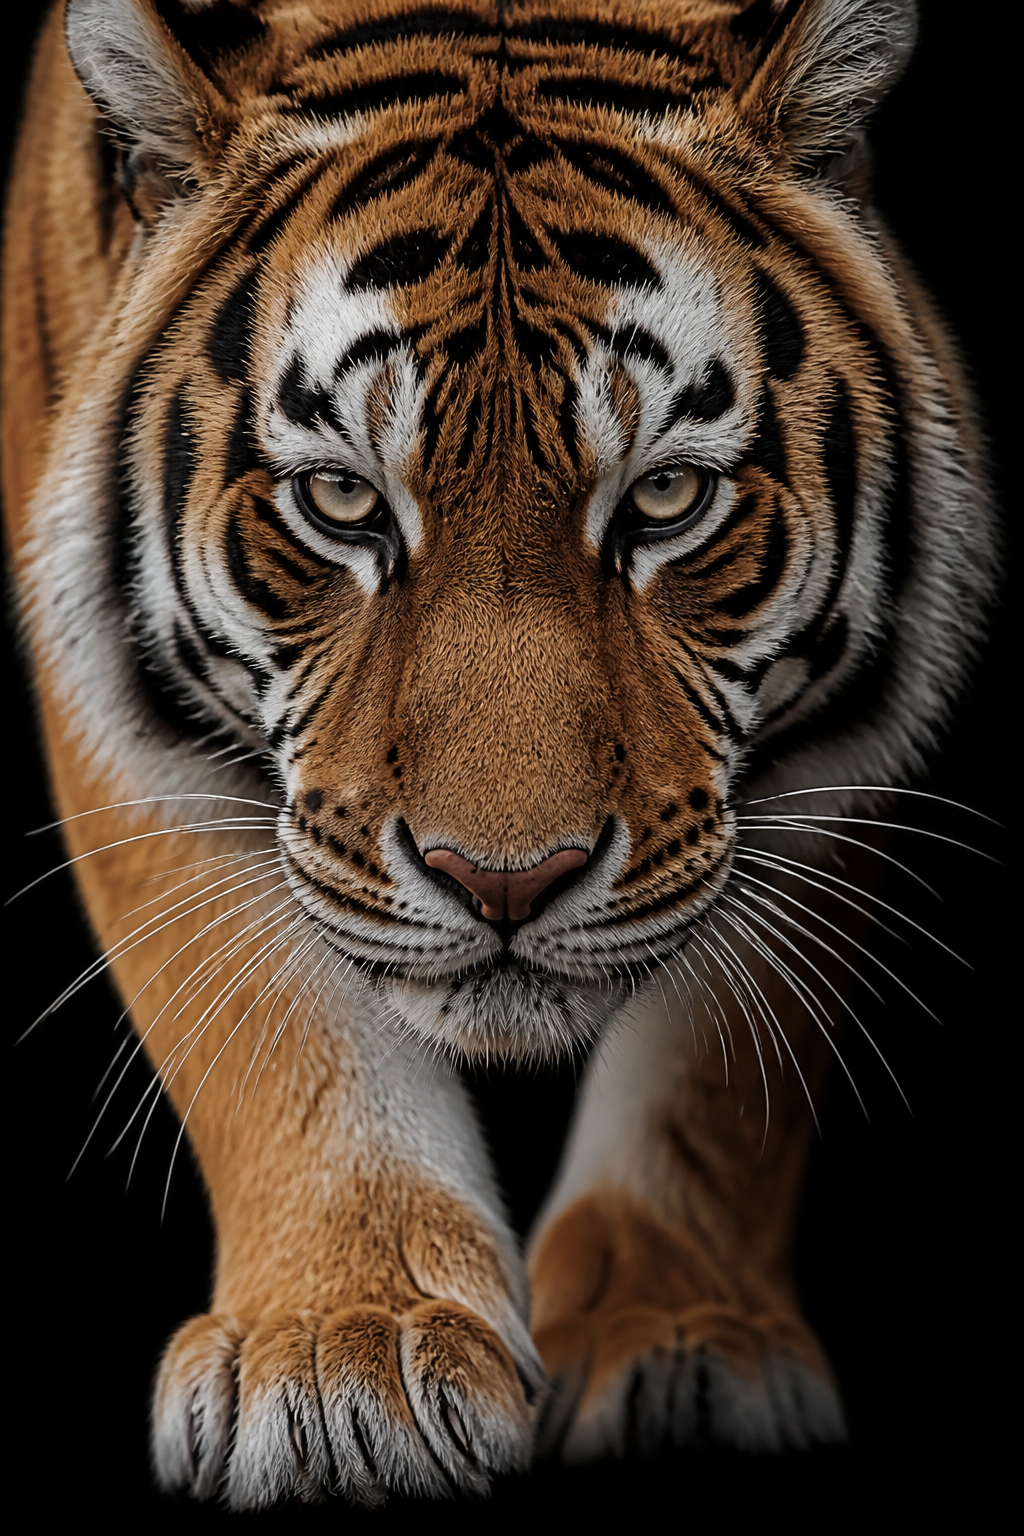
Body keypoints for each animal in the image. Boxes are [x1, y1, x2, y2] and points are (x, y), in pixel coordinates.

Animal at [1, 0, 996, 1509]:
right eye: (342, 500)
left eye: (667, 497)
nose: (505, 881)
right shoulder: (122, 724)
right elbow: (279, 1031)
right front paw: (340, 1358)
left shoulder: (836, 744)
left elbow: (718, 1072)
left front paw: (677, 1345)